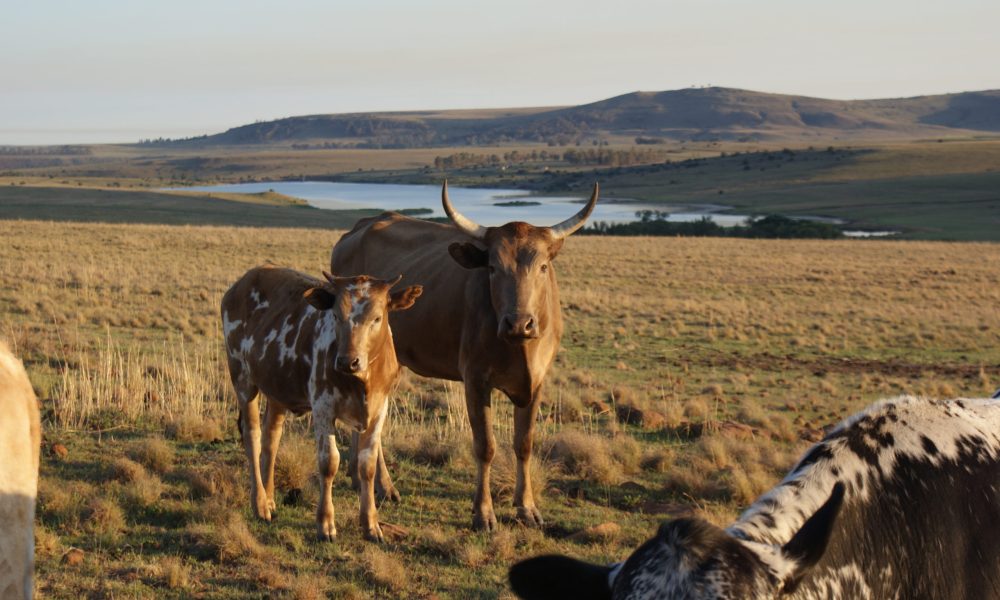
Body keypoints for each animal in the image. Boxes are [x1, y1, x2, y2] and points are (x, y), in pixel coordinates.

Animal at [221, 264, 420, 540]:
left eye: (377, 318)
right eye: (336, 315)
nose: (348, 361)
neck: (362, 381)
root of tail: (246, 279)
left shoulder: (380, 408)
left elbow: (367, 465)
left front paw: (371, 523)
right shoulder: (323, 407)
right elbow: (329, 462)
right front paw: (325, 523)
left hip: (277, 389)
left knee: (271, 439)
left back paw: (270, 499)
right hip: (242, 378)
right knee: (253, 437)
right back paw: (260, 503)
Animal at [332, 182, 596, 528]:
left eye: (542, 267)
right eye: (493, 268)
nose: (519, 323)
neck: (519, 349)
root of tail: (356, 230)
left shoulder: (537, 382)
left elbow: (524, 444)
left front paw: (527, 507)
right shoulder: (475, 380)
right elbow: (485, 446)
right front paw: (483, 513)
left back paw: (359, 477)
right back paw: (385, 486)